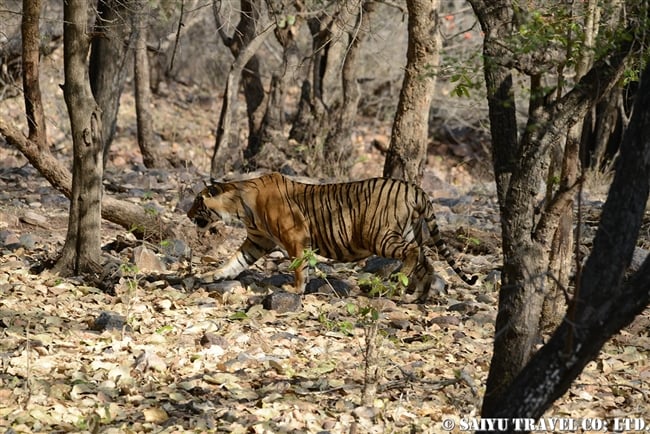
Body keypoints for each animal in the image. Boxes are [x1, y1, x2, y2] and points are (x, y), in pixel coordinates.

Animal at [187, 171, 476, 300]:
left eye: (197, 201)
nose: (187, 214)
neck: (239, 207)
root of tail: (415, 188)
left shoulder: (295, 237)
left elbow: (299, 266)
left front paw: (295, 289)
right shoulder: (257, 241)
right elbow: (234, 261)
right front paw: (212, 276)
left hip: (379, 235)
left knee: (414, 254)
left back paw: (397, 284)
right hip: (407, 232)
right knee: (427, 261)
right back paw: (418, 295)